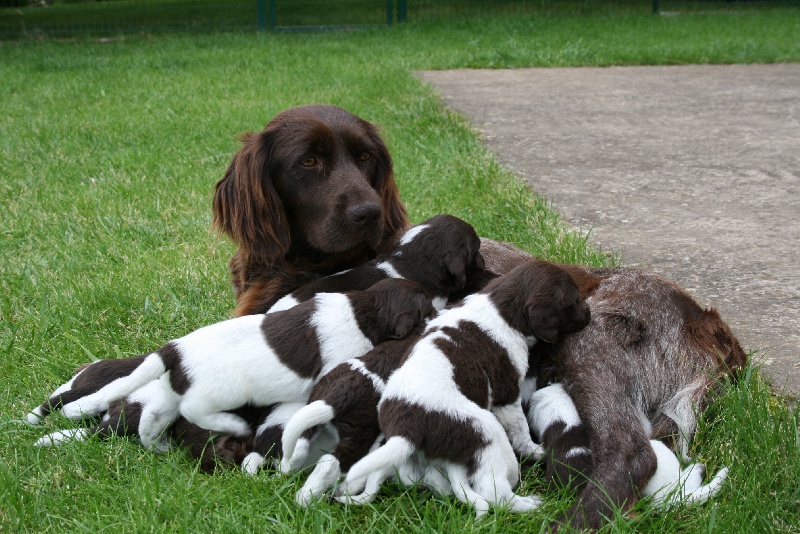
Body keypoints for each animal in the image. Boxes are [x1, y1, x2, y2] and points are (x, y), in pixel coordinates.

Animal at [340, 262, 592, 516]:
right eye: (573, 301)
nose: (589, 313)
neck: (501, 308)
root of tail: (406, 429)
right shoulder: (507, 392)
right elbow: (520, 427)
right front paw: (533, 450)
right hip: (486, 432)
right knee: (496, 493)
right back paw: (530, 504)